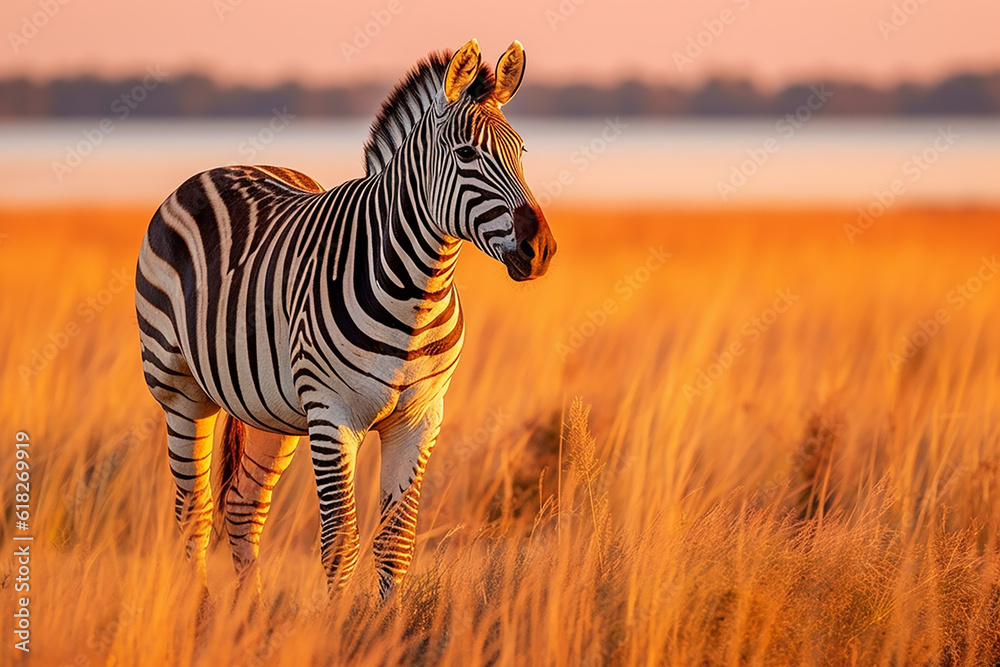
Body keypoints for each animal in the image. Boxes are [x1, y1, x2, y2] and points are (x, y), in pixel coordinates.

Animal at [135, 38, 556, 601]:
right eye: (467, 154)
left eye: (521, 152)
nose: (541, 249)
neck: (417, 292)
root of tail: (219, 169)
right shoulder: (332, 414)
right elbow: (340, 544)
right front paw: (336, 624)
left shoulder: (420, 417)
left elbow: (396, 543)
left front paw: (388, 622)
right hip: (181, 391)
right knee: (194, 513)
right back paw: (201, 614)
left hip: (274, 410)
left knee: (243, 507)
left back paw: (249, 617)